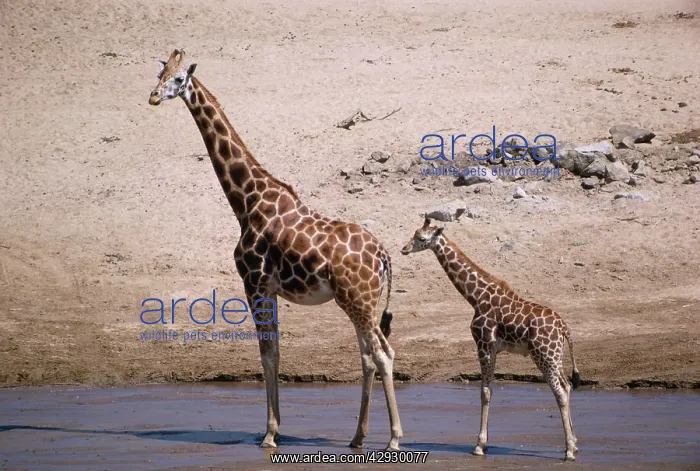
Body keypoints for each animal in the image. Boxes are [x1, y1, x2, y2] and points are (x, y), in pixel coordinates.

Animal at [148, 49, 403, 450]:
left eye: (178, 79)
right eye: (159, 74)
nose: (154, 97)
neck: (247, 201)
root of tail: (383, 257)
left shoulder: (254, 283)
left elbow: (267, 354)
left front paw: (269, 434)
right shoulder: (269, 288)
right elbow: (277, 352)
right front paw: (274, 429)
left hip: (357, 300)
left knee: (382, 353)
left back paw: (393, 438)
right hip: (362, 301)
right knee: (367, 355)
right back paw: (357, 437)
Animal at [400, 217, 581, 461]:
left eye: (421, 238)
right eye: (414, 233)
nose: (404, 249)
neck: (475, 296)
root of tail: (564, 328)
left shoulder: (484, 344)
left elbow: (485, 392)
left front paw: (479, 445)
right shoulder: (493, 347)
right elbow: (490, 390)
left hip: (544, 354)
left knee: (560, 392)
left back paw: (569, 451)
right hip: (555, 355)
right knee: (567, 385)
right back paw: (573, 444)